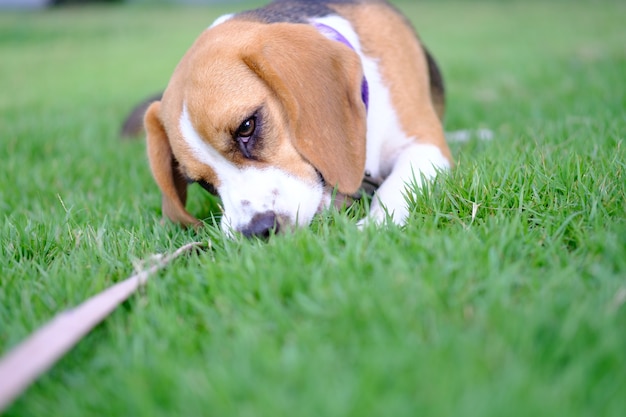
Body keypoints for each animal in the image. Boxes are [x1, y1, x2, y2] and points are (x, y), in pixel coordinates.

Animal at [134, 0, 450, 236]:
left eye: (247, 126)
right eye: (201, 182)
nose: (256, 231)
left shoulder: (425, 145)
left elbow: (396, 185)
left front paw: (375, 225)